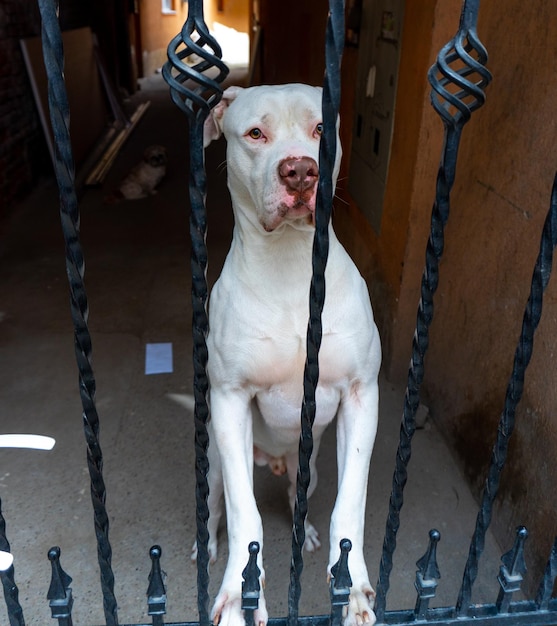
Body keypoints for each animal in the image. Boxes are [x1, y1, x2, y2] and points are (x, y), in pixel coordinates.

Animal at [202, 84, 380, 624]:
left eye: (321, 128)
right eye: (255, 133)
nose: (300, 170)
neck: (291, 265)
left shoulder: (363, 396)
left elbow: (351, 504)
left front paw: (352, 586)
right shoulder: (230, 399)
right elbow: (245, 514)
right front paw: (237, 593)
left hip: (311, 467)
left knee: (297, 497)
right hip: (212, 462)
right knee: (214, 507)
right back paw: (206, 548)